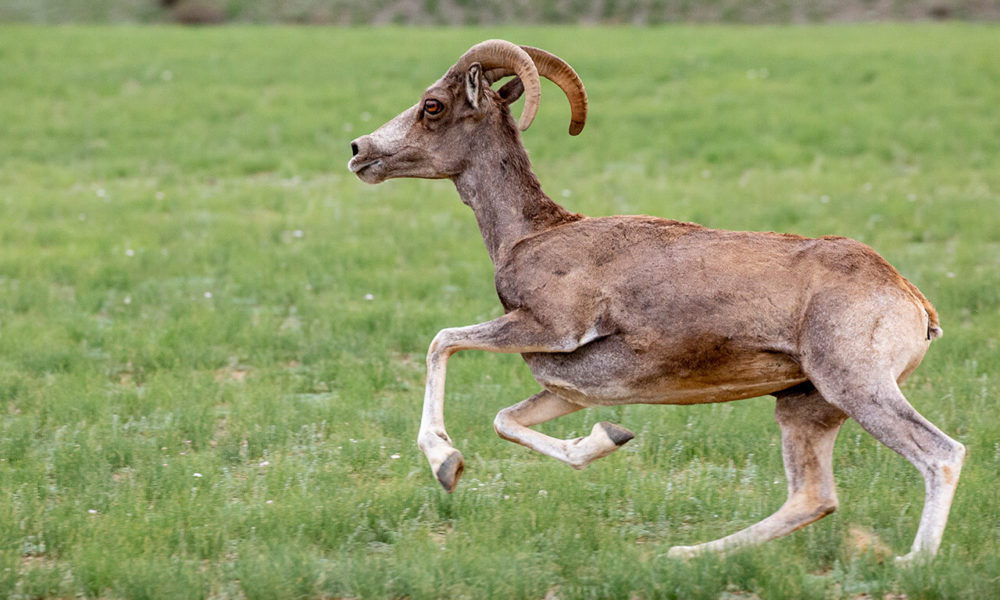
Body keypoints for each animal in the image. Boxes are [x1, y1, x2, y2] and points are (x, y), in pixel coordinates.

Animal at [348, 39, 964, 560]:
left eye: (432, 106)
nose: (358, 151)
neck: (530, 236)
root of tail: (910, 300)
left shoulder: (548, 327)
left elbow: (442, 343)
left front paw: (445, 462)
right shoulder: (569, 388)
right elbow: (507, 420)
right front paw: (608, 439)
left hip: (856, 388)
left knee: (940, 456)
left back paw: (912, 565)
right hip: (805, 408)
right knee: (812, 497)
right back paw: (686, 556)